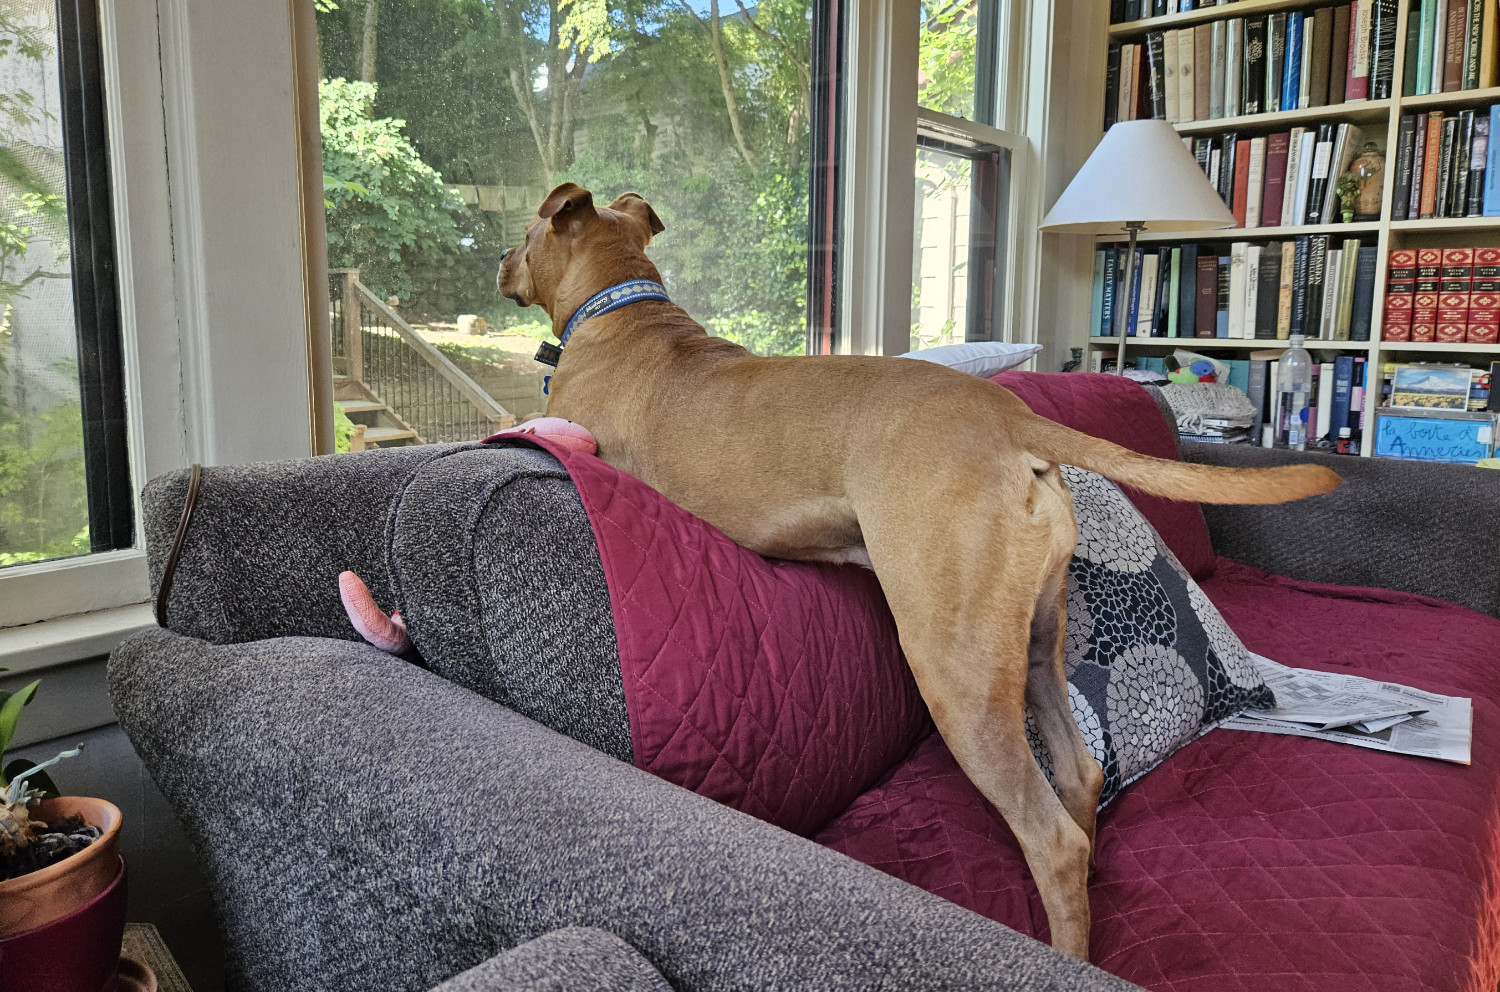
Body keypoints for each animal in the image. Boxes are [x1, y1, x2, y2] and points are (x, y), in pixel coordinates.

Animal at [498, 180, 1344, 960]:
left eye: (527, 229)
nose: (500, 259)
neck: (623, 305)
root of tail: (1010, 419)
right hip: (1034, 644)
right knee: (1079, 777)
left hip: (953, 668)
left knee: (1051, 837)